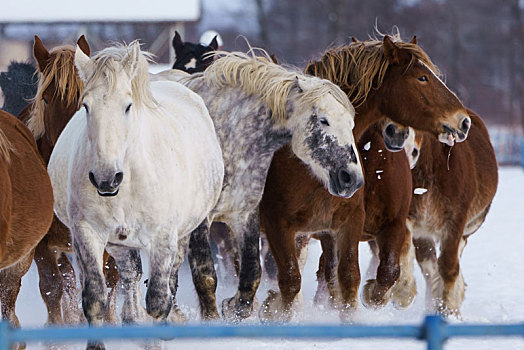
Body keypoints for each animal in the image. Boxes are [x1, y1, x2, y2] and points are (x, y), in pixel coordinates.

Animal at [46, 42, 223, 346]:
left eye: (127, 106)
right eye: (85, 106)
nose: (105, 178)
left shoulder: (163, 238)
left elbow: (158, 300)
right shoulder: (87, 233)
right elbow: (95, 298)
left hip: (188, 230)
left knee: (169, 278)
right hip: (119, 241)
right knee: (130, 275)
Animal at [258, 34, 470, 322]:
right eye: (422, 77)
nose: (464, 122)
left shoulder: (355, 222)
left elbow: (359, 276)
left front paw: (365, 301)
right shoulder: (278, 224)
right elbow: (290, 279)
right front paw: (274, 309)